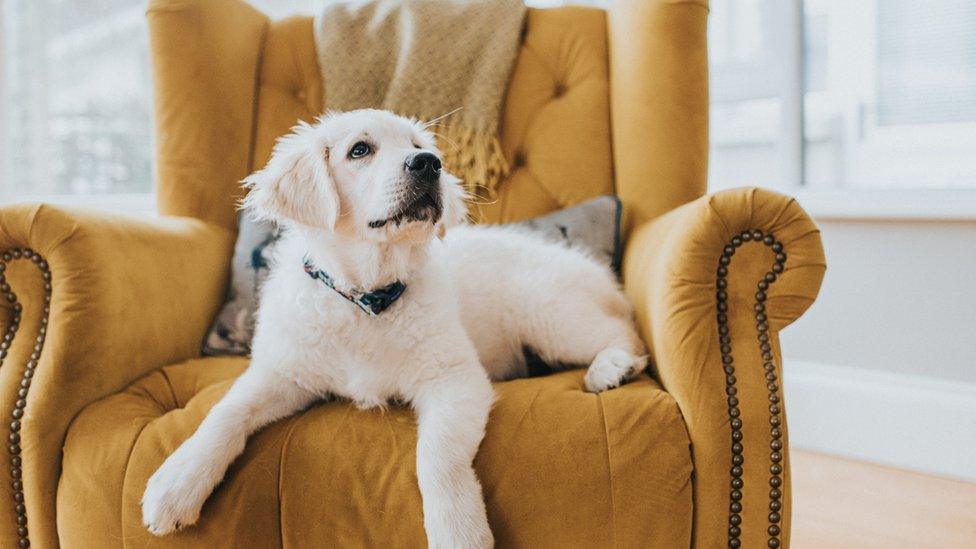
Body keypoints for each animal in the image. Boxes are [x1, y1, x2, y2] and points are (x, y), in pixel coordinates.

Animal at [141, 109, 648, 544]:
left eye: (421, 147)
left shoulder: (454, 379)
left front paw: (458, 532)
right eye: (359, 150)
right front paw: (176, 482)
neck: (367, 298)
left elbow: (436, 459)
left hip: (547, 312)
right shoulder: (284, 372)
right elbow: (226, 411)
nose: (430, 164)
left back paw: (611, 367)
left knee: (623, 331)